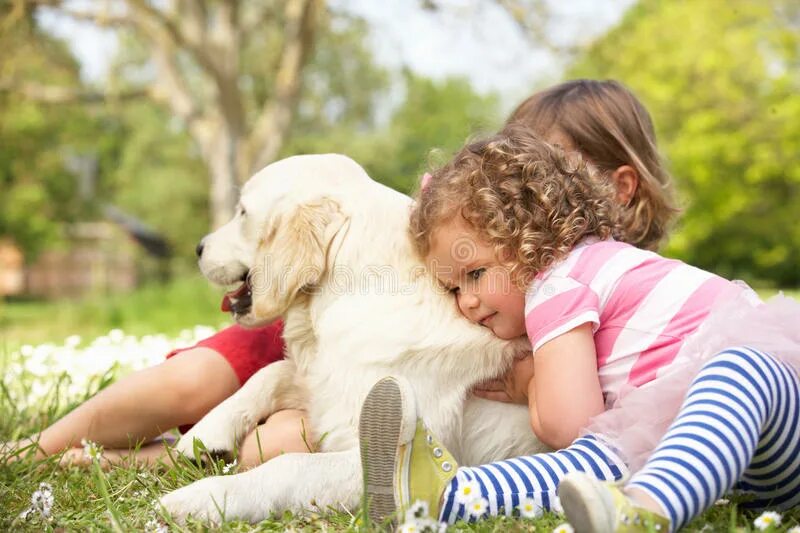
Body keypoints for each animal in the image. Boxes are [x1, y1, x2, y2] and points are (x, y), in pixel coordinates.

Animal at [159, 153, 548, 520]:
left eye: (242, 212)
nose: (198, 248)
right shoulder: (324, 384)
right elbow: (270, 373)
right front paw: (203, 435)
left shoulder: (380, 456)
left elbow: (289, 465)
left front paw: (201, 498)